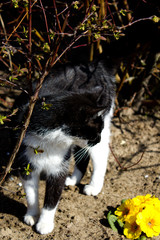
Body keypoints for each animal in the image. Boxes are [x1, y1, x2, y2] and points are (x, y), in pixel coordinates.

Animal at [14, 58, 115, 234]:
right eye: (96, 132)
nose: (98, 138)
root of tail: (95, 64)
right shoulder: (25, 158)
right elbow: (30, 192)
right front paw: (32, 215)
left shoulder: (58, 166)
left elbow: (53, 196)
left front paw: (44, 224)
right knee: (83, 153)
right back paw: (74, 179)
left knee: (100, 154)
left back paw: (94, 186)